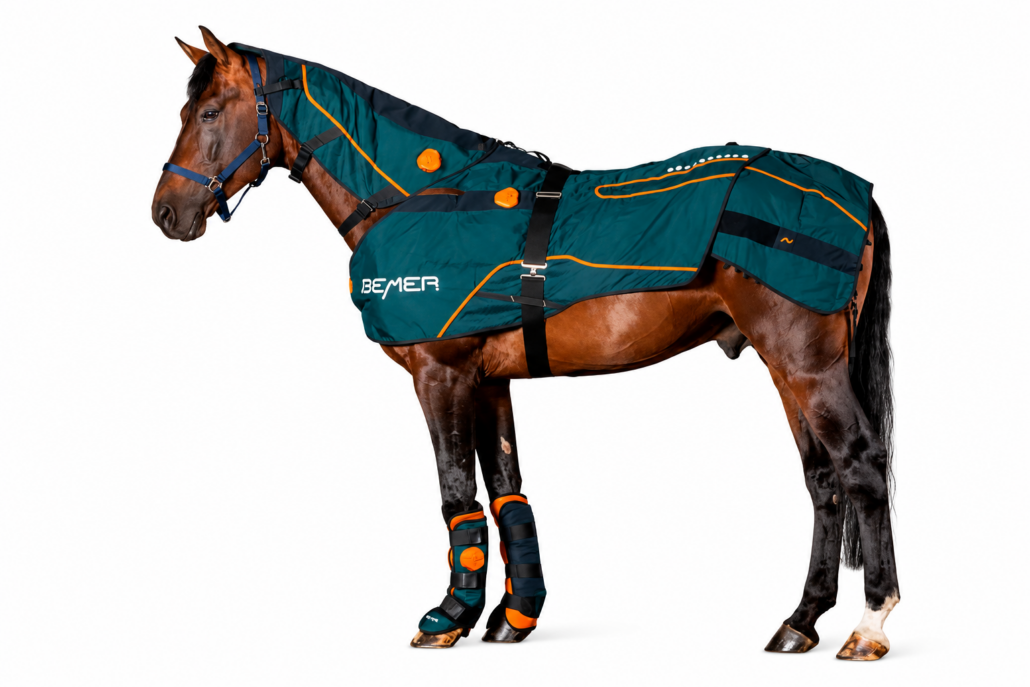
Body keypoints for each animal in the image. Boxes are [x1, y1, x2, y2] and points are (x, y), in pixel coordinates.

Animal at [151, 27, 898, 659]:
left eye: (211, 112)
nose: (166, 213)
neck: (424, 193)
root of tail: (856, 192)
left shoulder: (441, 373)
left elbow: (456, 492)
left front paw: (448, 617)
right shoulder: (489, 380)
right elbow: (507, 493)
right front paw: (513, 617)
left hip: (807, 366)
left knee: (860, 465)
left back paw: (869, 625)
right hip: (785, 369)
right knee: (822, 480)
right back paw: (800, 621)